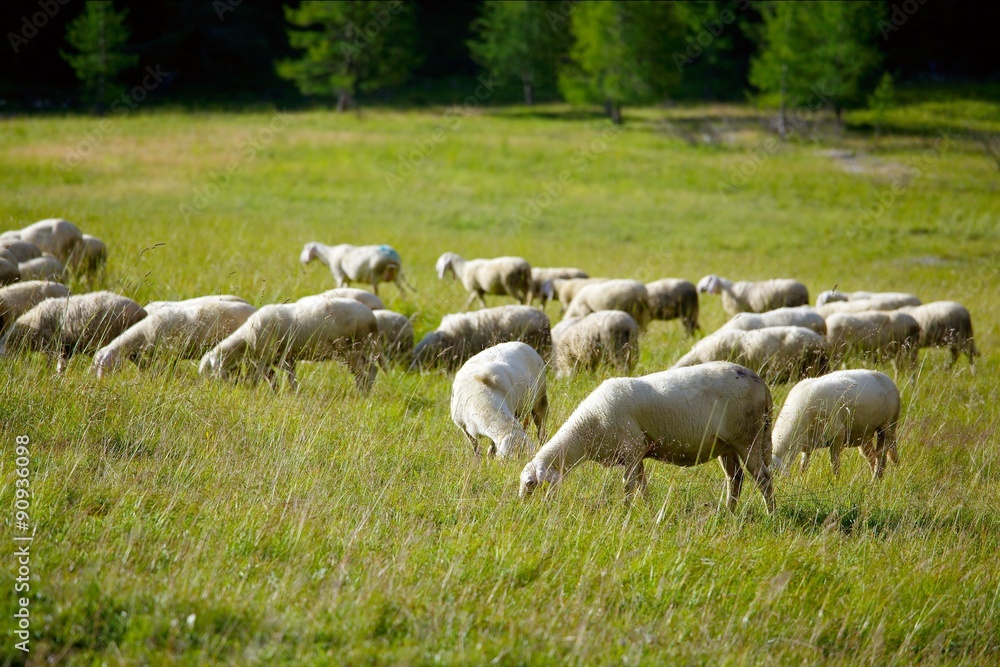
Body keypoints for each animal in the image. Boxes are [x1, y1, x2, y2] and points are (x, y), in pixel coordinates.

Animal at [199, 294, 381, 393]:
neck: (247, 339)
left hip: (352, 348)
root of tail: (371, 317)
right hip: (361, 348)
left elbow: (257, 377)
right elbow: (285, 378)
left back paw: (361, 393)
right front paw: (290, 394)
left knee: (361, 374)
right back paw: (367, 391)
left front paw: (251, 390)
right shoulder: (285, 358)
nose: (211, 390)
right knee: (372, 369)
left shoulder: (265, 356)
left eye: (209, 371)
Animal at [519, 361, 774, 512]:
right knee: (736, 478)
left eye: (531, 484)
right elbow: (642, 486)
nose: (523, 509)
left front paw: (625, 512)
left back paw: (770, 513)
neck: (586, 430)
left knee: (763, 478)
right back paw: (728, 512)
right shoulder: (637, 452)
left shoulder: (631, 449)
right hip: (726, 445)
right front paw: (648, 510)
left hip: (748, 437)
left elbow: (628, 485)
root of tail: (760, 382)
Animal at [772, 370, 900, 480]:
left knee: (881, 457)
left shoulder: (838, 434)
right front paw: (801, 480)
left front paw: (836, 481)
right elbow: (804, 465)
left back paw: (876, 480)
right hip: (864, 435)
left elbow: (835, 464)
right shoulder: (807, 444)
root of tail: (887, 378)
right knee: (872, 457)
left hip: (887, 427)